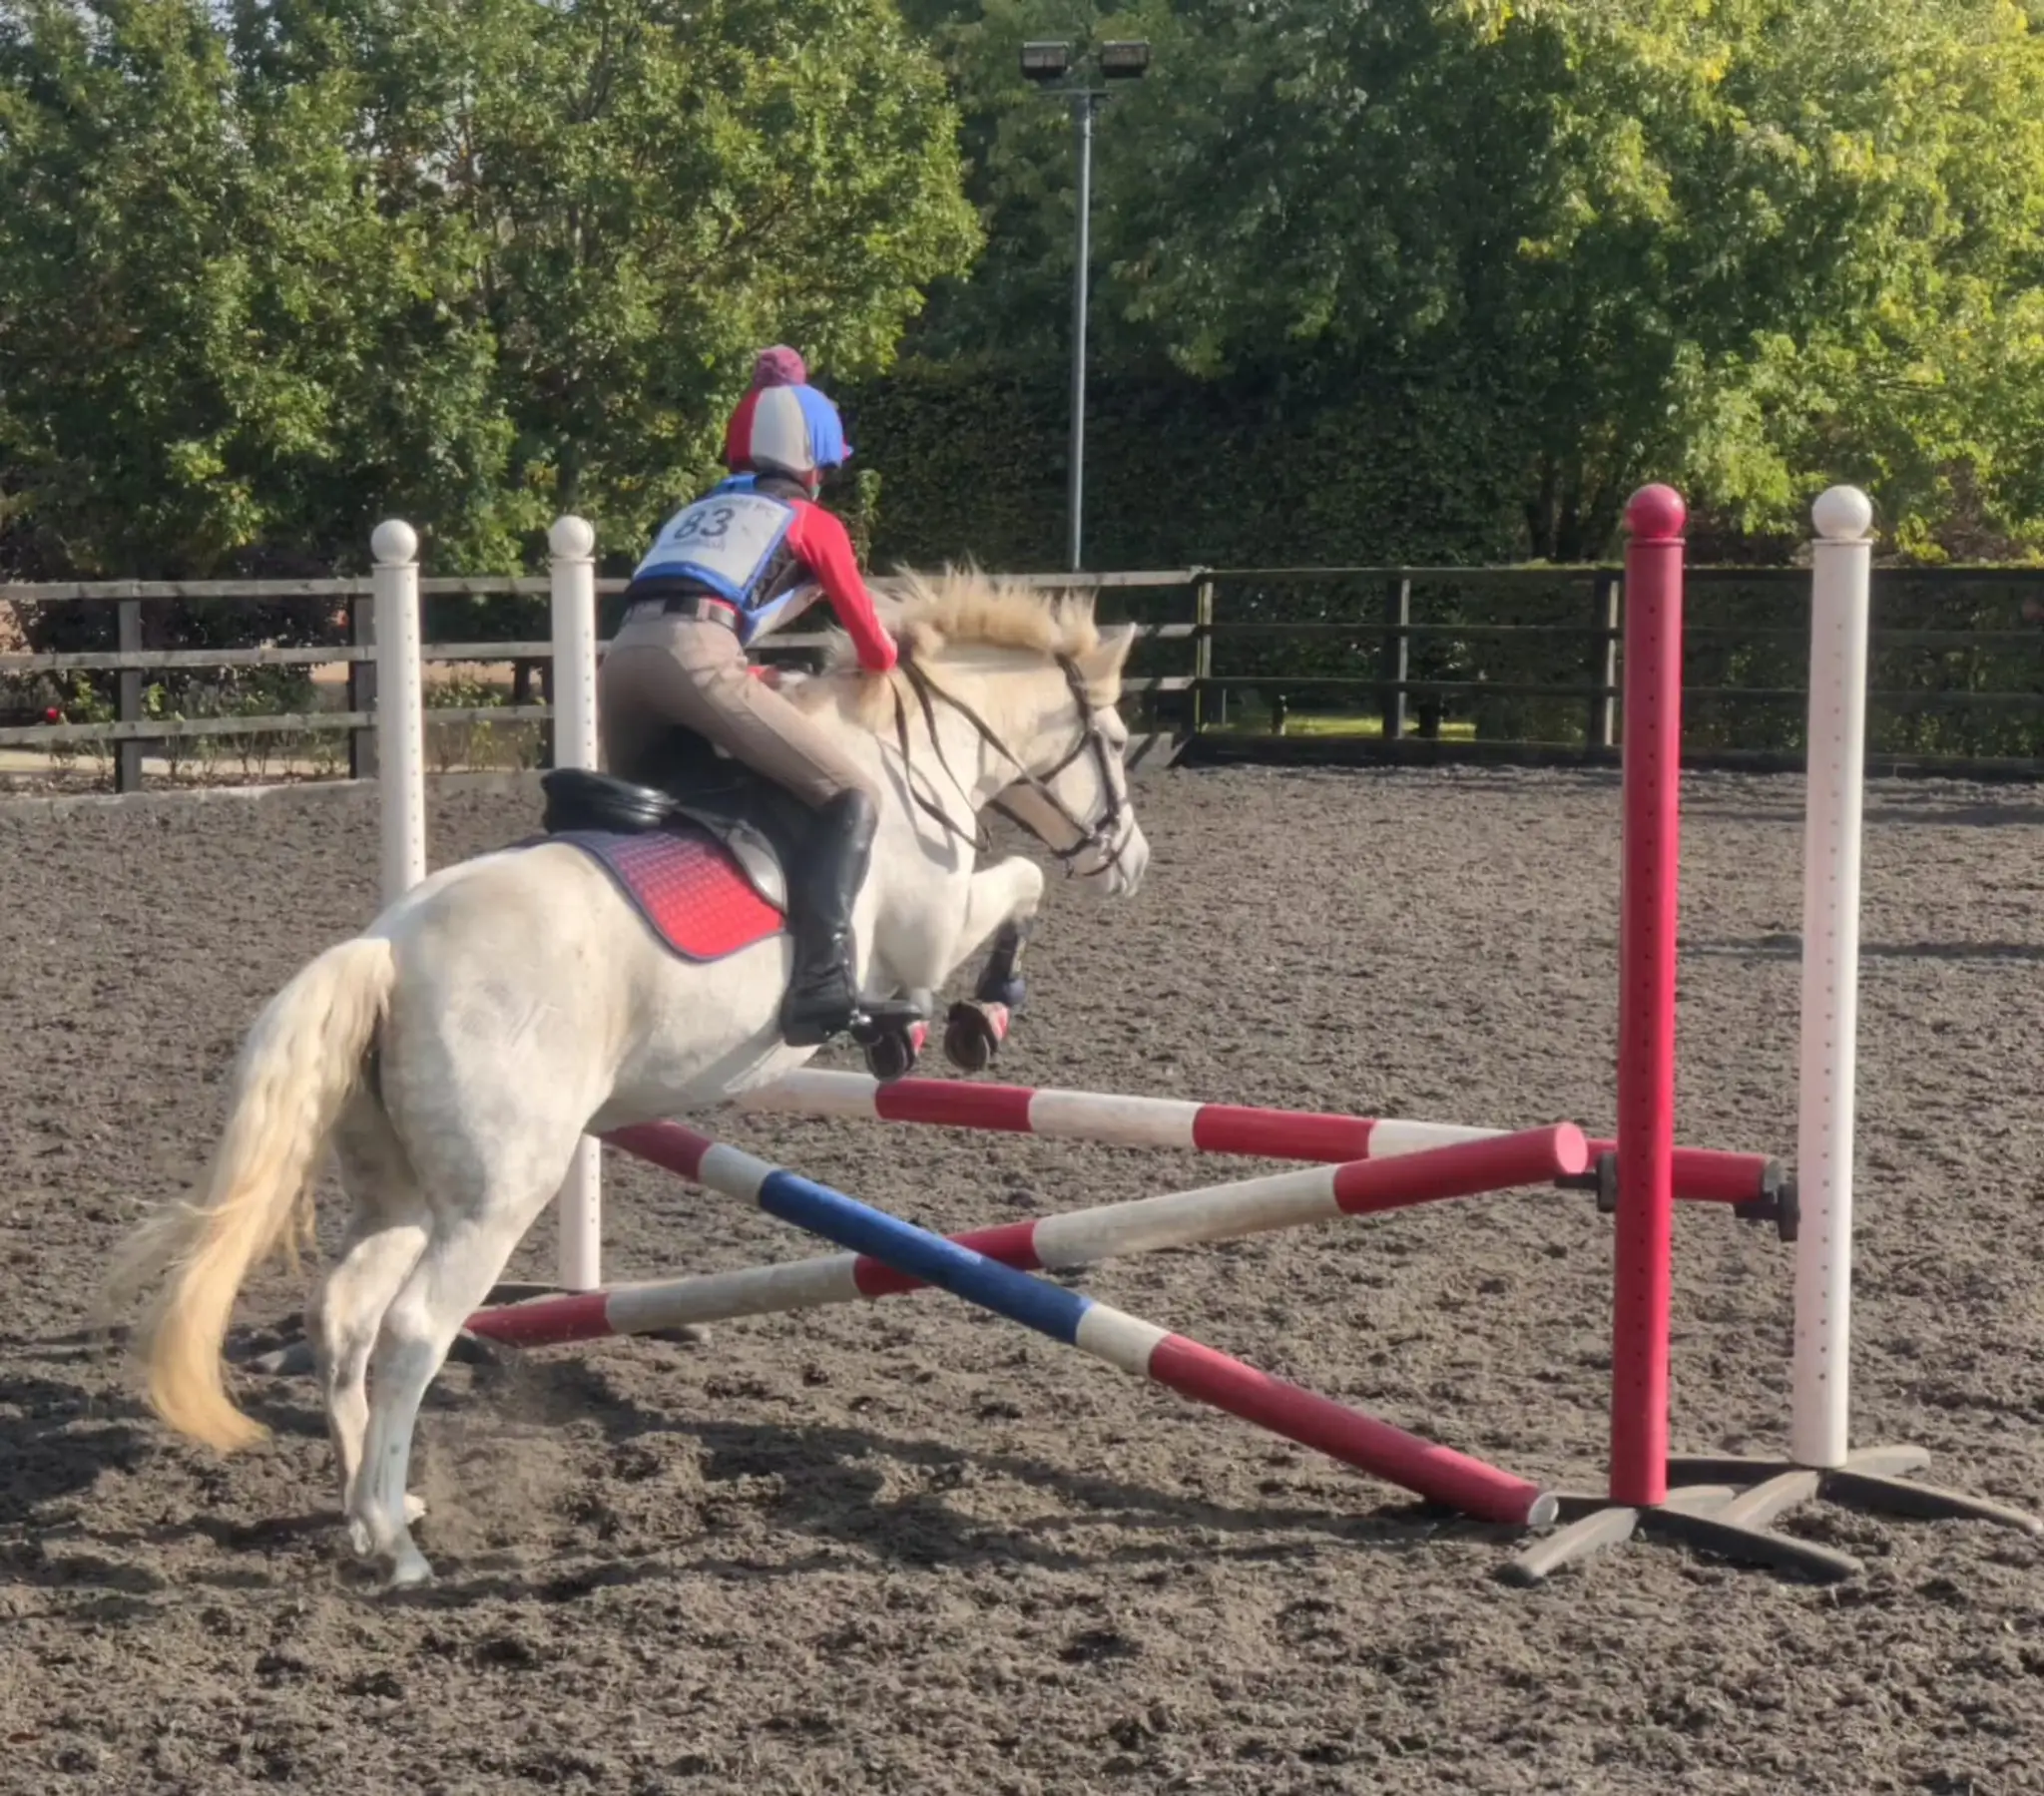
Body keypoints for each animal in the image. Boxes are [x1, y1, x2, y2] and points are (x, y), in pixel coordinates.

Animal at [102, 569, 1150, 1589]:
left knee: (345, 1317)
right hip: (495, 1197)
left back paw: (372, 1508)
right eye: (1116, 742)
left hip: (396, 1189)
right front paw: (975, 1017)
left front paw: (931, 1030)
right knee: (411, 1333)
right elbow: (1021, 889)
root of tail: (387, 953)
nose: (1131, 863)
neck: (905, 754)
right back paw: (398, 1548)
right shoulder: (931, 930)